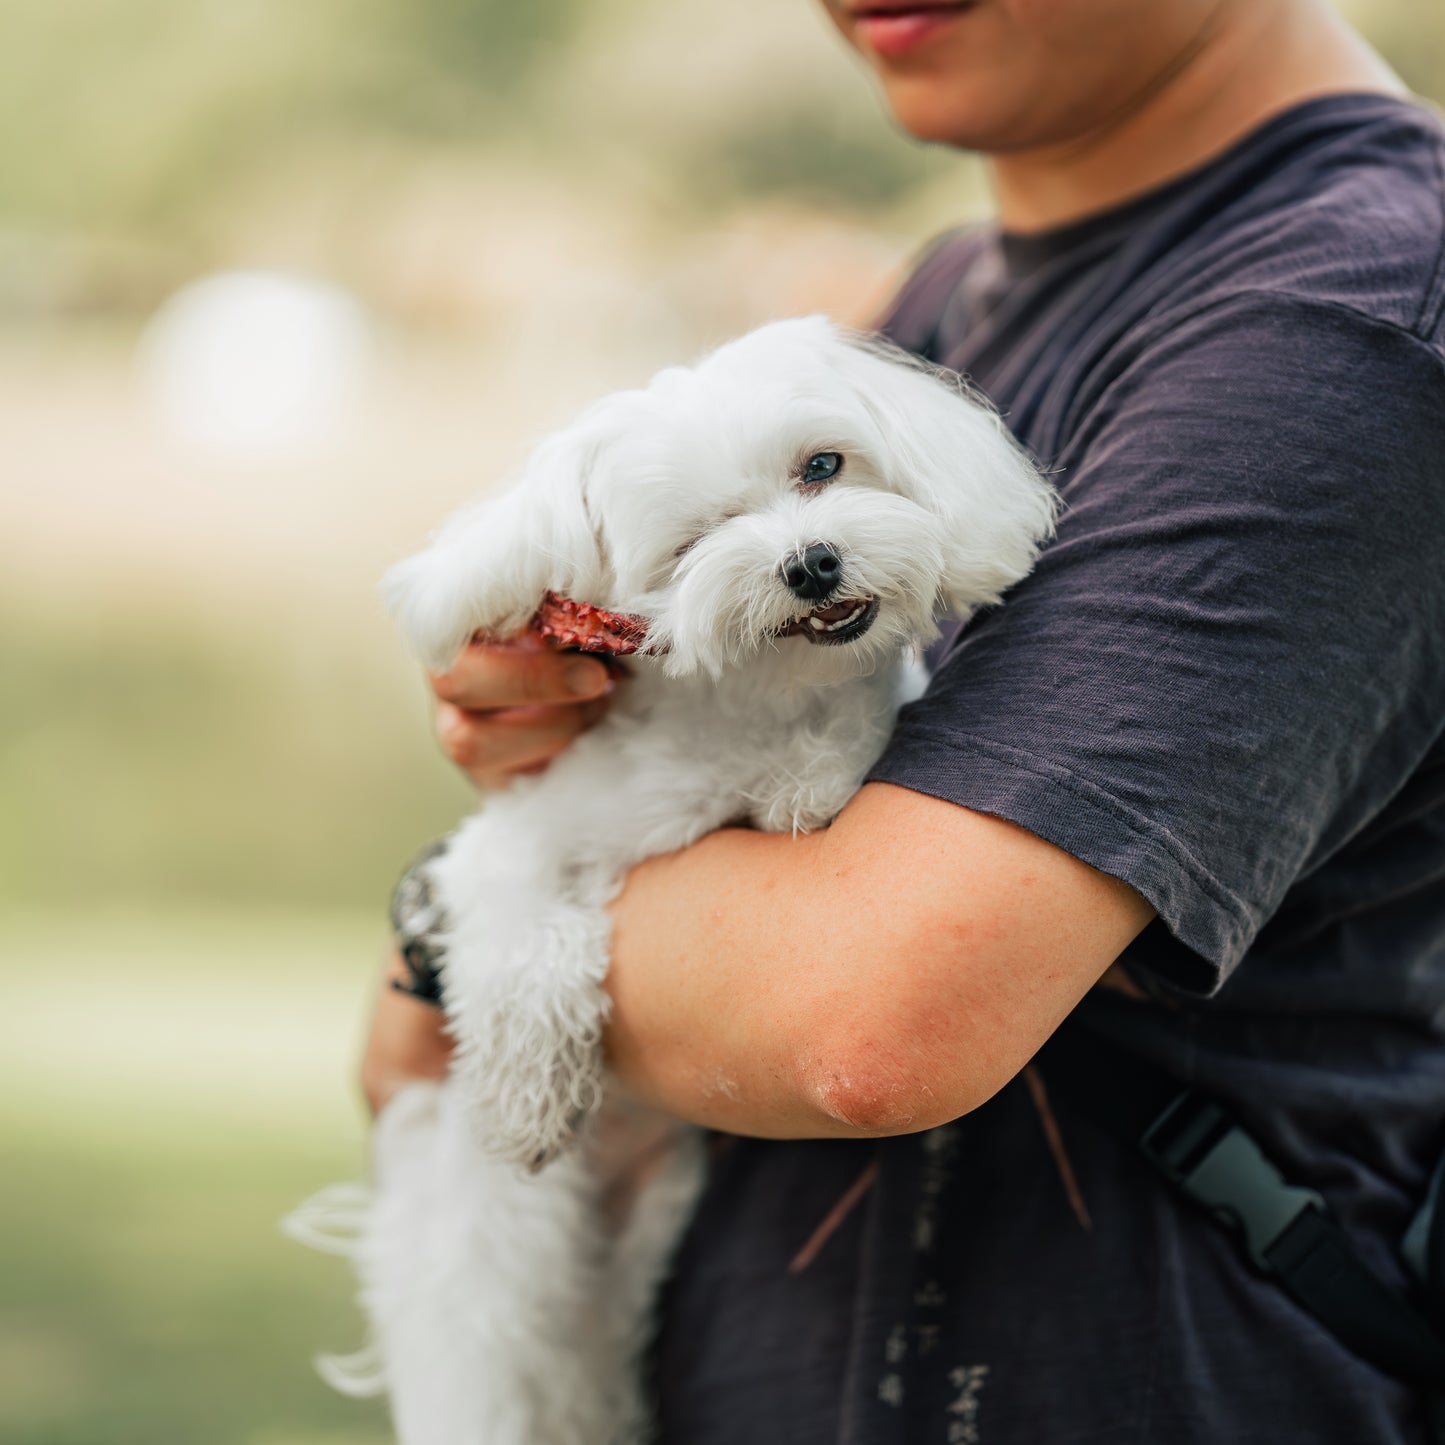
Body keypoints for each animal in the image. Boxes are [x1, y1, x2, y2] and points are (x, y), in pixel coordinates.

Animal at [287, 319, 1057, 1445]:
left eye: (821, 466)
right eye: (695, 535)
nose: (810, 560)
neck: (754, 708)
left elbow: (846, 742)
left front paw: (805, 777)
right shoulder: (504, 852)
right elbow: (529, 944)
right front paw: (529, 1088)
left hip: (643, 1242)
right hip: (490, 1272)